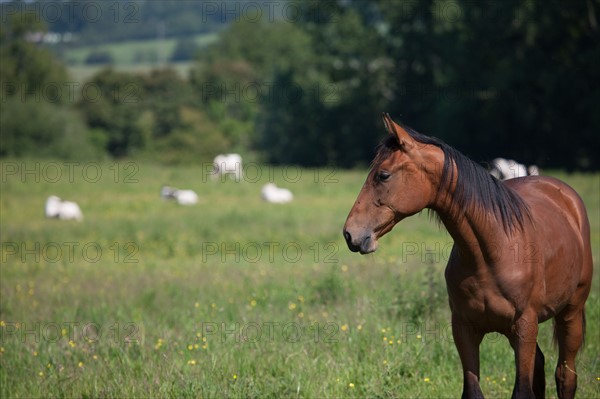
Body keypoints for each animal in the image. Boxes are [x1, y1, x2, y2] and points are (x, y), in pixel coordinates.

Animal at [344, 113, 592, 399]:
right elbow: (474, 389)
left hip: (570, 312)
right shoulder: (464, 329)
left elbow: (523, 389)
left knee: (565, 375)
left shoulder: (525, 325)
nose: (350, 233)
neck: (490, 253)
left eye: (383, 175)